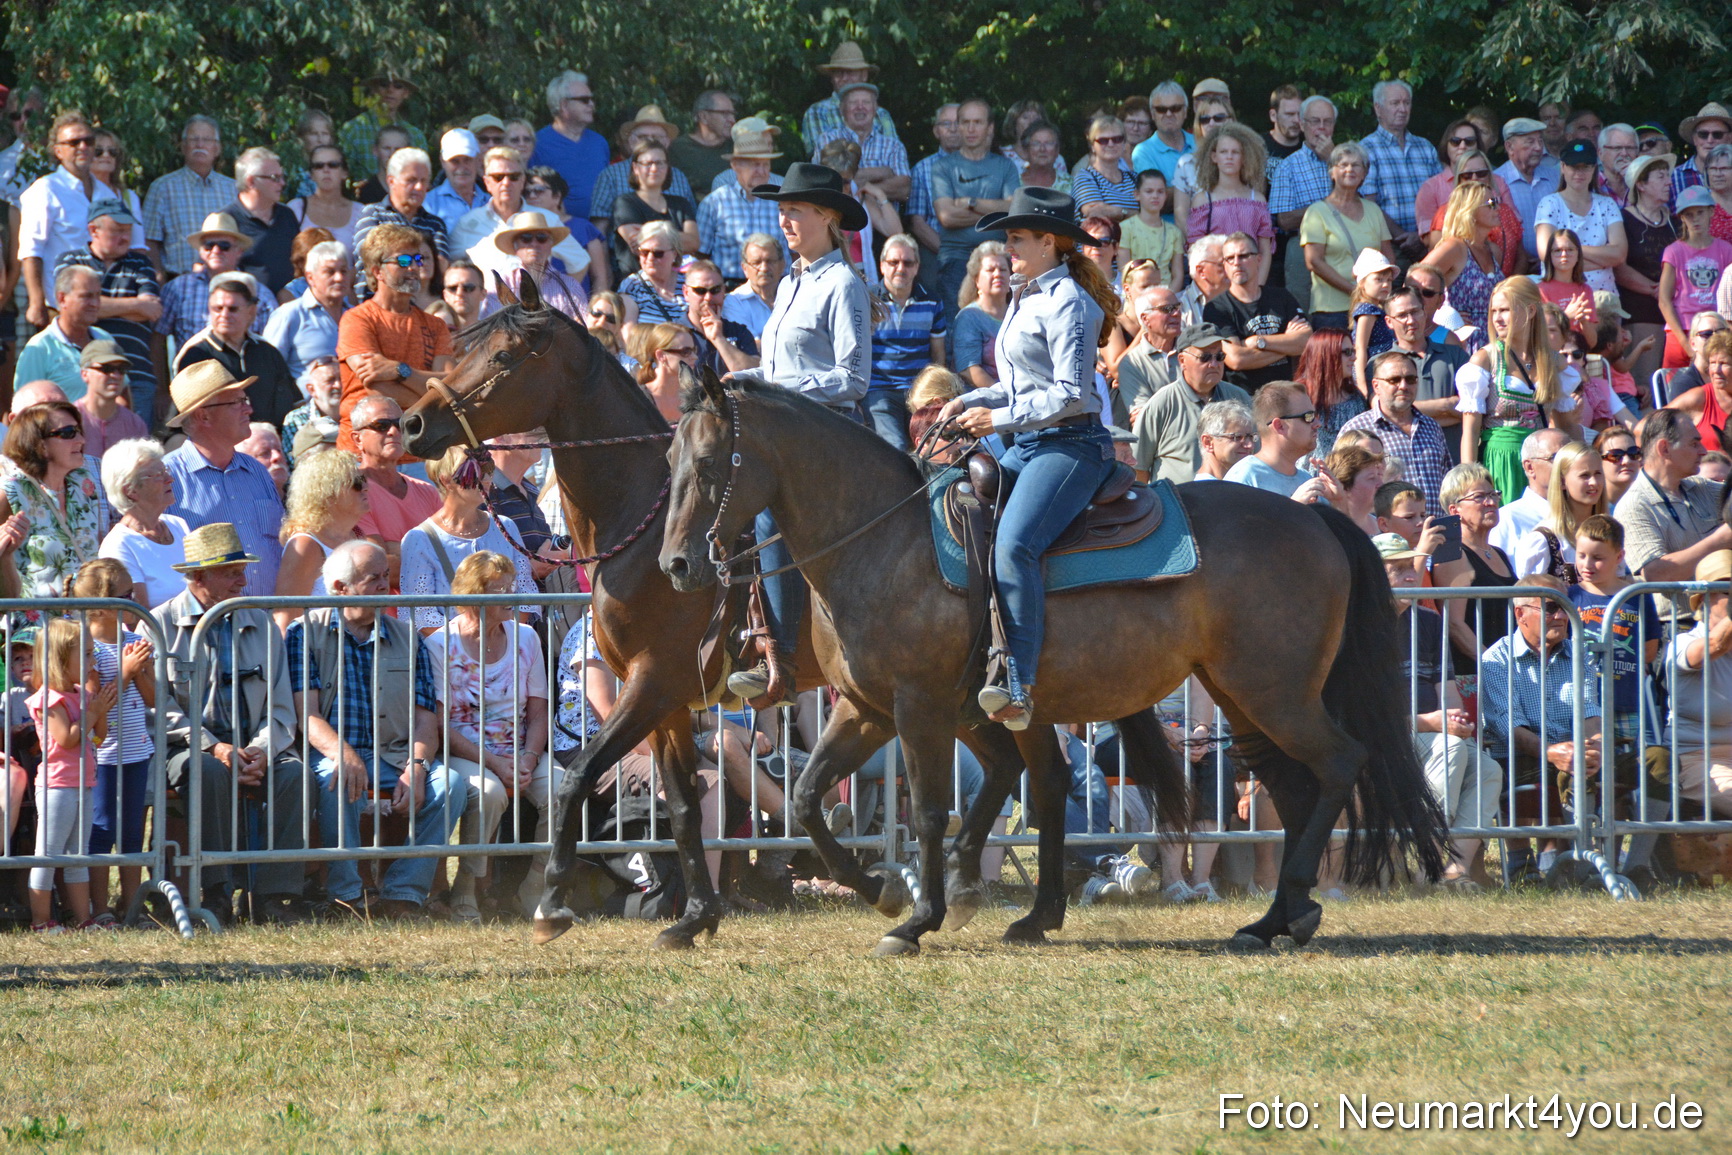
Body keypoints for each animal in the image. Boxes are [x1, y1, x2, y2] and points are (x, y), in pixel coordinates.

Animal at [398, 277, 1171, 948]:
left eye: (502, 356)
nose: (411, 421)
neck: (644, 523)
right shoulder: (670, 701)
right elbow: (683, 806)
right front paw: (696, 916)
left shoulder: (654, 683)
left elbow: (581, 775)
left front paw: (554, 903)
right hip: (958, 703)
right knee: (1020, 773)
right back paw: (977, 892)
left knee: (1041, 778)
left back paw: (999, 901)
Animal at [659, 372, 1451, 954]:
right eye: (668, 463)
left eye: (709, 463)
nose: (676, 564)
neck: (884, 539)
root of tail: (1313, 516)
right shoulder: (867, 708)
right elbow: (805, 798)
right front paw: (889, 890)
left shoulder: (916, 707)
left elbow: (931, 809)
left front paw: (915, 918)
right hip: (1242, 693)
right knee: (1288, 785)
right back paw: (1273, 918)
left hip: (1273, 691)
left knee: (1338, 763)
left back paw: (1285, 913)